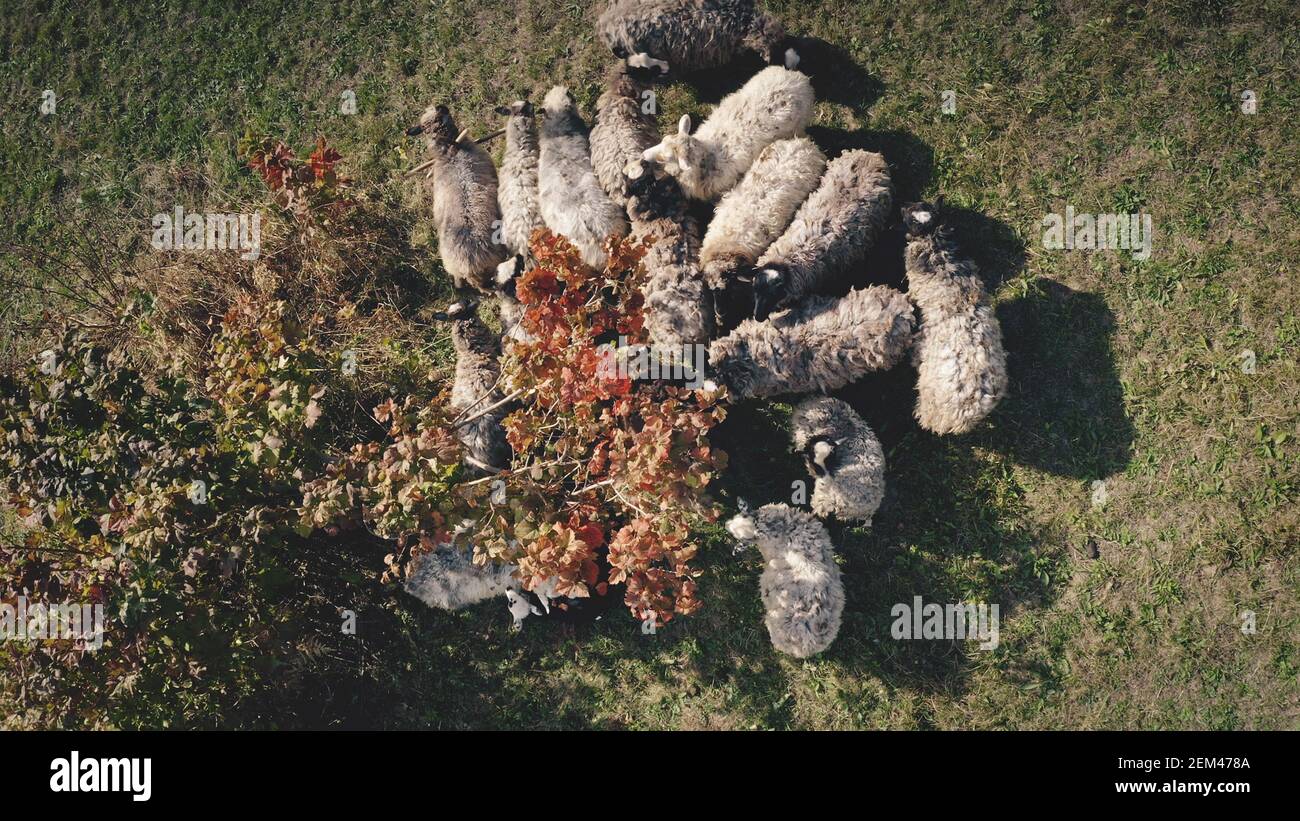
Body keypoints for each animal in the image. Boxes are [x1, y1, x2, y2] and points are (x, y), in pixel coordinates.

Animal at [641, 63, 814, 203]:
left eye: (667, 157)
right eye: (663, 140)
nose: (643, 155)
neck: (707, 159)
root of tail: (794, 76)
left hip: (799, 125)